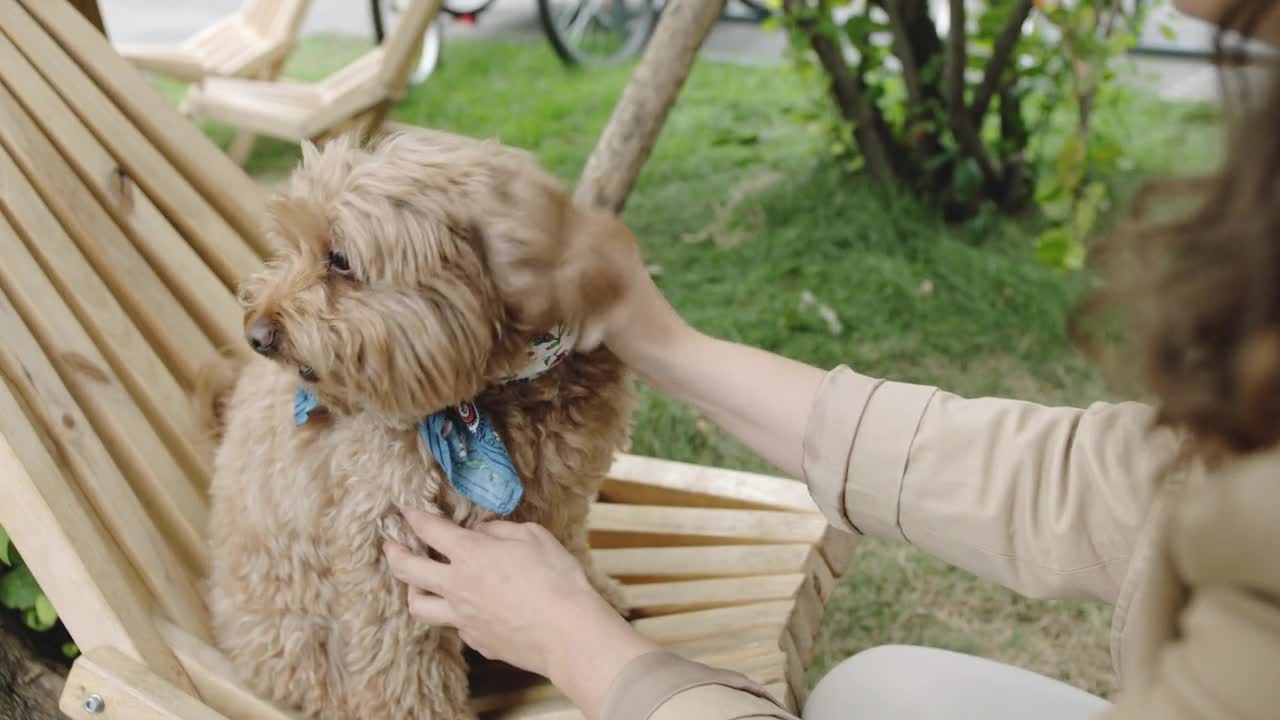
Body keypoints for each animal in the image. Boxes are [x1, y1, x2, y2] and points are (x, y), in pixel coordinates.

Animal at [199, 128, 634, 717]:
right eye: (289, 247)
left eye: (339, 259)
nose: (257, 334)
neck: (491, 390)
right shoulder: (384, 538)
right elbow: (404, 661)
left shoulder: (560, 500)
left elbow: (567, 552)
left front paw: (596, 599)